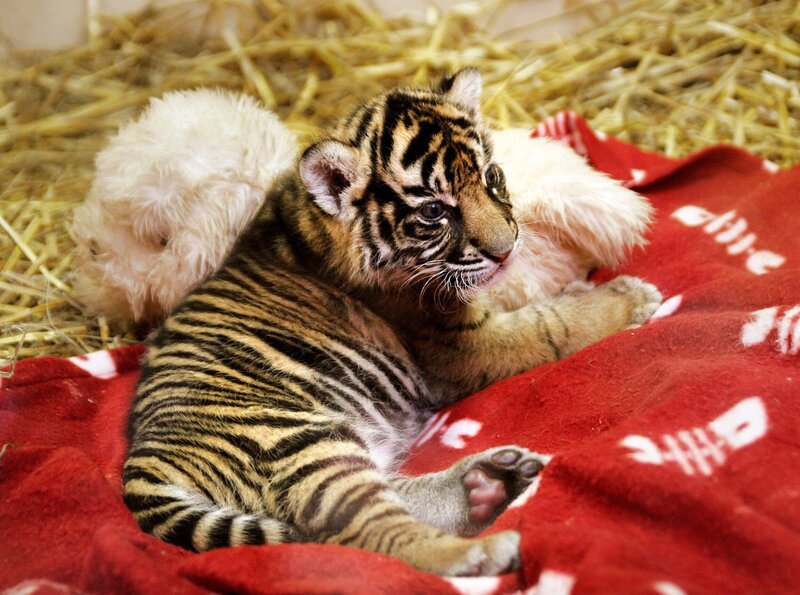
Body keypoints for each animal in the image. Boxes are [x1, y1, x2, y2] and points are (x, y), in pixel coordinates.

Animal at [123, 68, 662, 576]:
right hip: (300, 442)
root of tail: (143, 465)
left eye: (491, 177)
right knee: (367, 531)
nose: (507, 249)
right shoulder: (461, 348)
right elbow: (548, 328)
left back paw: (488, 482)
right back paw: (483, 548)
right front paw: (630, 297)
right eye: (434, 211)